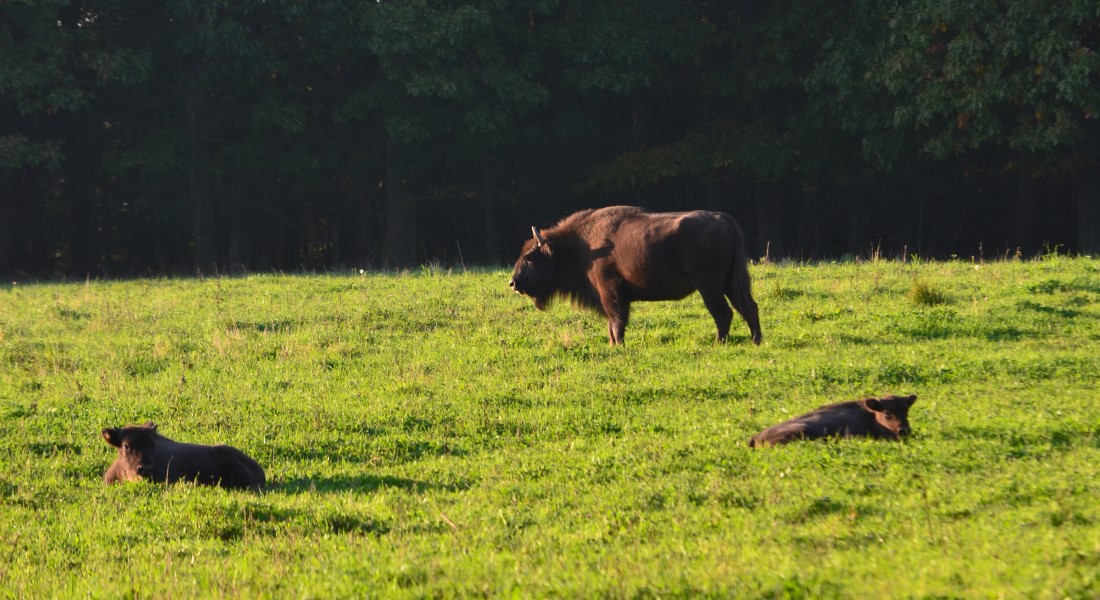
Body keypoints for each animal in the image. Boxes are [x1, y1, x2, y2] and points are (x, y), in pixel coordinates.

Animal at [508, 206, 761, 343]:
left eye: (530, 257)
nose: (513, 282)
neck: (582, 245)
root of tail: (726, 219)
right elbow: (613, 322)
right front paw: (612, 344)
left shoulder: (610, 290)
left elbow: (616, 320)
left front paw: (617, 344)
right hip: (730, 282)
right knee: (748, 307)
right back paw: (756, 341)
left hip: (709, 286)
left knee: (724, 313)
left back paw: (720, 343)